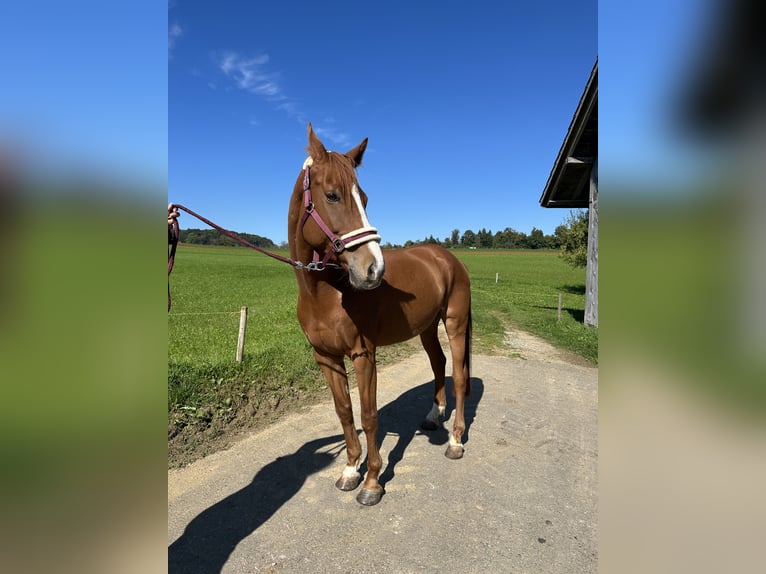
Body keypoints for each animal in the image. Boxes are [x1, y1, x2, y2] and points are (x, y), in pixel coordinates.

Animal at [288, 123, 472, 506]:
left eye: (365, 198)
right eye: (332, 195)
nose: (373, 269)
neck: (326, 294)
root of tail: (447, 259)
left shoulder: (363, 355)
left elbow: (369, 415)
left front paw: (372, 482)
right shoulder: (325, 358)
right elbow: (345, 413)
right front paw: (349, 470)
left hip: (455, 323)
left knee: (460, 377)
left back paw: (455, 441)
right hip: (427, 328)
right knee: (439, 364)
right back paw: (434, 416)